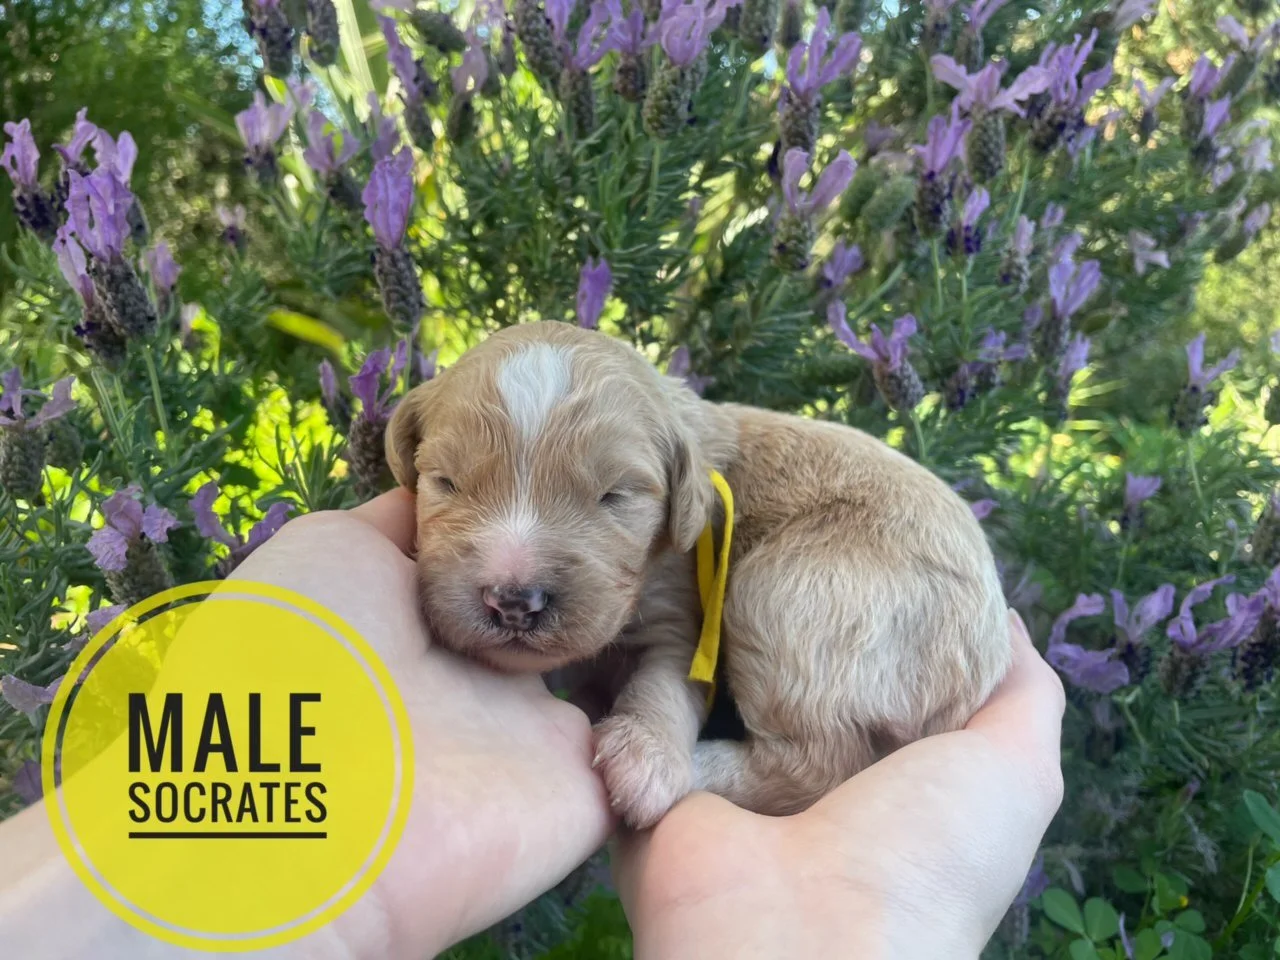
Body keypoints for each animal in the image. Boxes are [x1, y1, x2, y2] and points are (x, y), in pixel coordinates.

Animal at [385, 321, 1010, 827]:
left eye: (616, 496)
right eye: (445, 483)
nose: (513, 600)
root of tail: (978, 671)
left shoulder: (682, 611)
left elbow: (663, 686)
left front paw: (645, 758)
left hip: (790, 593)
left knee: (816, 766)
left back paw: (699, 766)